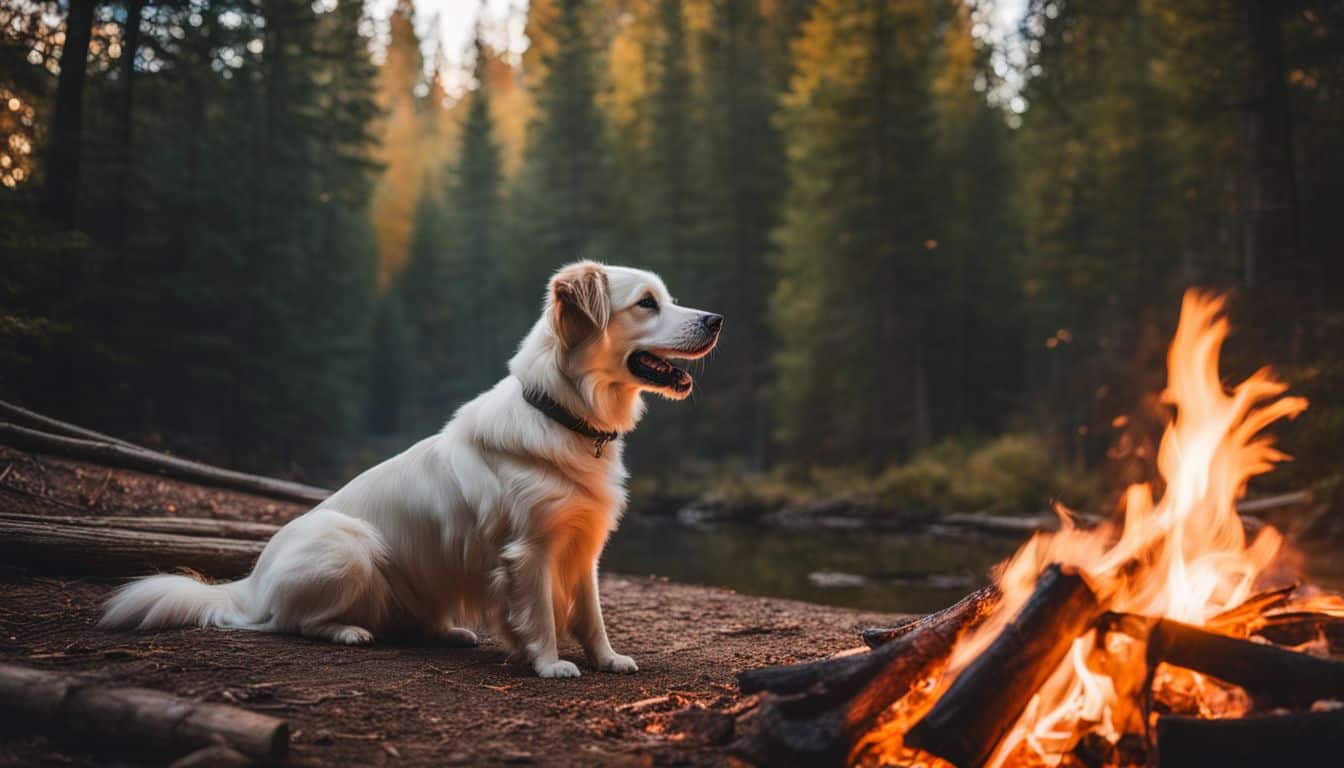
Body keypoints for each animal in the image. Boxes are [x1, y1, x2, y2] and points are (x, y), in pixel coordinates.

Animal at [102, 260, 725, 675]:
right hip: (350, 544)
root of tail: (250, 585)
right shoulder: (530, 550)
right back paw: (349, 631)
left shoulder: (583, 546)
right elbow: (543, 615)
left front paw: (608, 659)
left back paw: (449, 633)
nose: (717, 318)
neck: (566, 415)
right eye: (646, 303)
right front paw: (549, 665)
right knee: (288, 622)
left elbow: (591, 613)